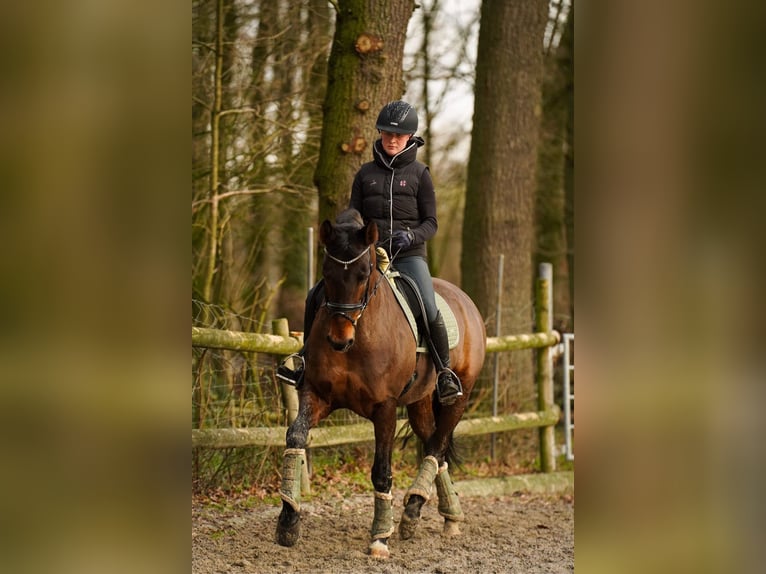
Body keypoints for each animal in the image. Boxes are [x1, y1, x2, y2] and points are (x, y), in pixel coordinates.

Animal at [276, 208, 486, 559]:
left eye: (364, 274)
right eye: (326, 272)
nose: (339, 340)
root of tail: (463, 299)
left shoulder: (384, 408)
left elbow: (381, 471)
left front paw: (379, 538)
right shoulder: (317, 395)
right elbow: (296, 437)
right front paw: (288, 521)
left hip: (460, 395)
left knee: (436, 446)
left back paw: (417, 510)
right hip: (419, 402)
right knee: (436, 446)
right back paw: (439, 514)